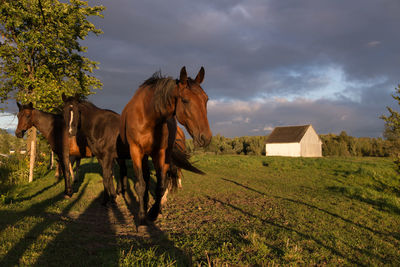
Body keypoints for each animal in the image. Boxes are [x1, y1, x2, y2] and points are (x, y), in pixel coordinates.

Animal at [119, 67, 211, 226]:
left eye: (206, 99)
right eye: (185, 100)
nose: (206, 138)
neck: (147, 116)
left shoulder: (160, 153)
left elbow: (160, 185)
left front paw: (154, 212)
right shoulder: (135, 151)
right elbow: (141, 184)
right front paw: (141, 217)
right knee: (146, 177)